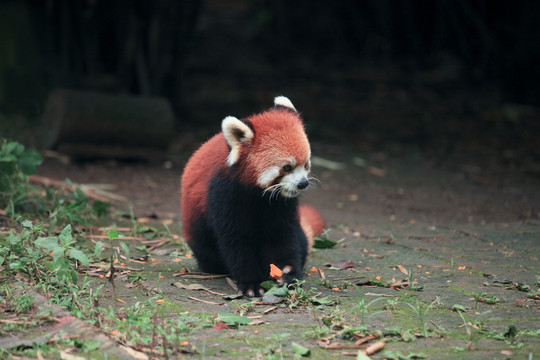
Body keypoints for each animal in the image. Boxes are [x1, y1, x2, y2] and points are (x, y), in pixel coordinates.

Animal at [181, 95, 324, 296]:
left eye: (306, 165)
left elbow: (281, 235)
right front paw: (252, 283)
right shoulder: (223, 193)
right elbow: (235, 240)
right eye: (287, 167)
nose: (302, 183)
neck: (257, 195)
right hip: (198, 235)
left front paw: (288, 273)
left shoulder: (280, 204)